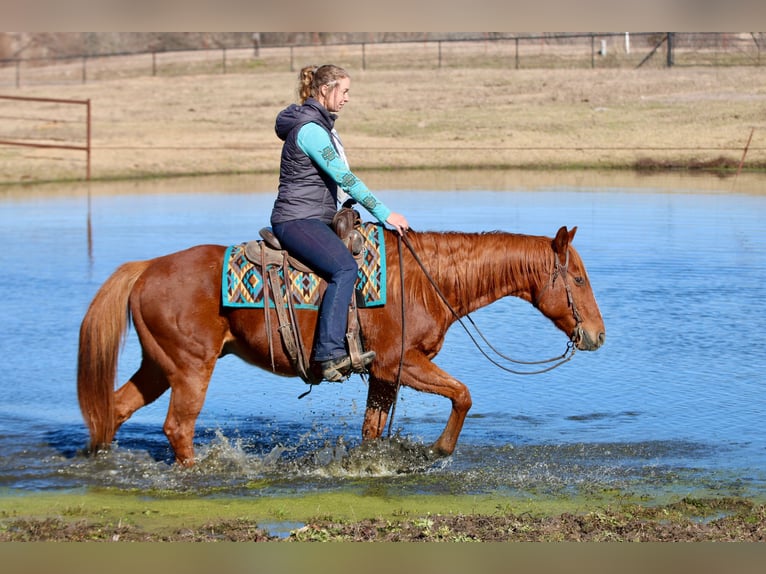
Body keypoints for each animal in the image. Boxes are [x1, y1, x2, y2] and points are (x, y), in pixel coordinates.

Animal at [77, 225, 605, 466]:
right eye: (578, 278)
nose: (597, 335)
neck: (424, 281)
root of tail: (145, 268)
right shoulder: (400, 364)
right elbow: (463, 394)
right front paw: (440, 449)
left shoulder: (383, 376)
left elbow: (372, 430)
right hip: (190, 368)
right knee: (177, 428)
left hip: (157, 366)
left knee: (114, 409)